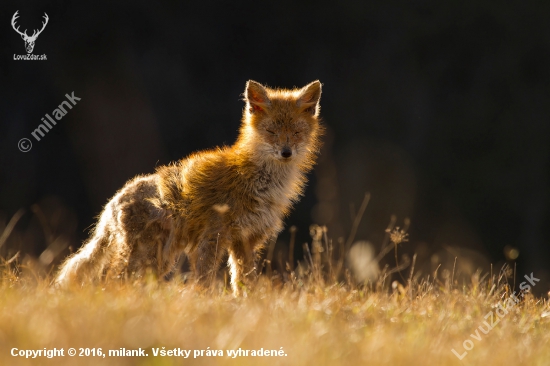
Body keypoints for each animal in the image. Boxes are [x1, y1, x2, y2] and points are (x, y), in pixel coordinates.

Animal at [55, 79, 324, 294]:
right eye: (271, 131)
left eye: (296, 132)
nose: (286, 153)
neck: (261, 182)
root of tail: (114, 200)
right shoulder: (213, 238)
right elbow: (204, 281)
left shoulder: (246, 242)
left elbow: (243, 283)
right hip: (149, 256)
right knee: (113, 280)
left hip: (160, 260)